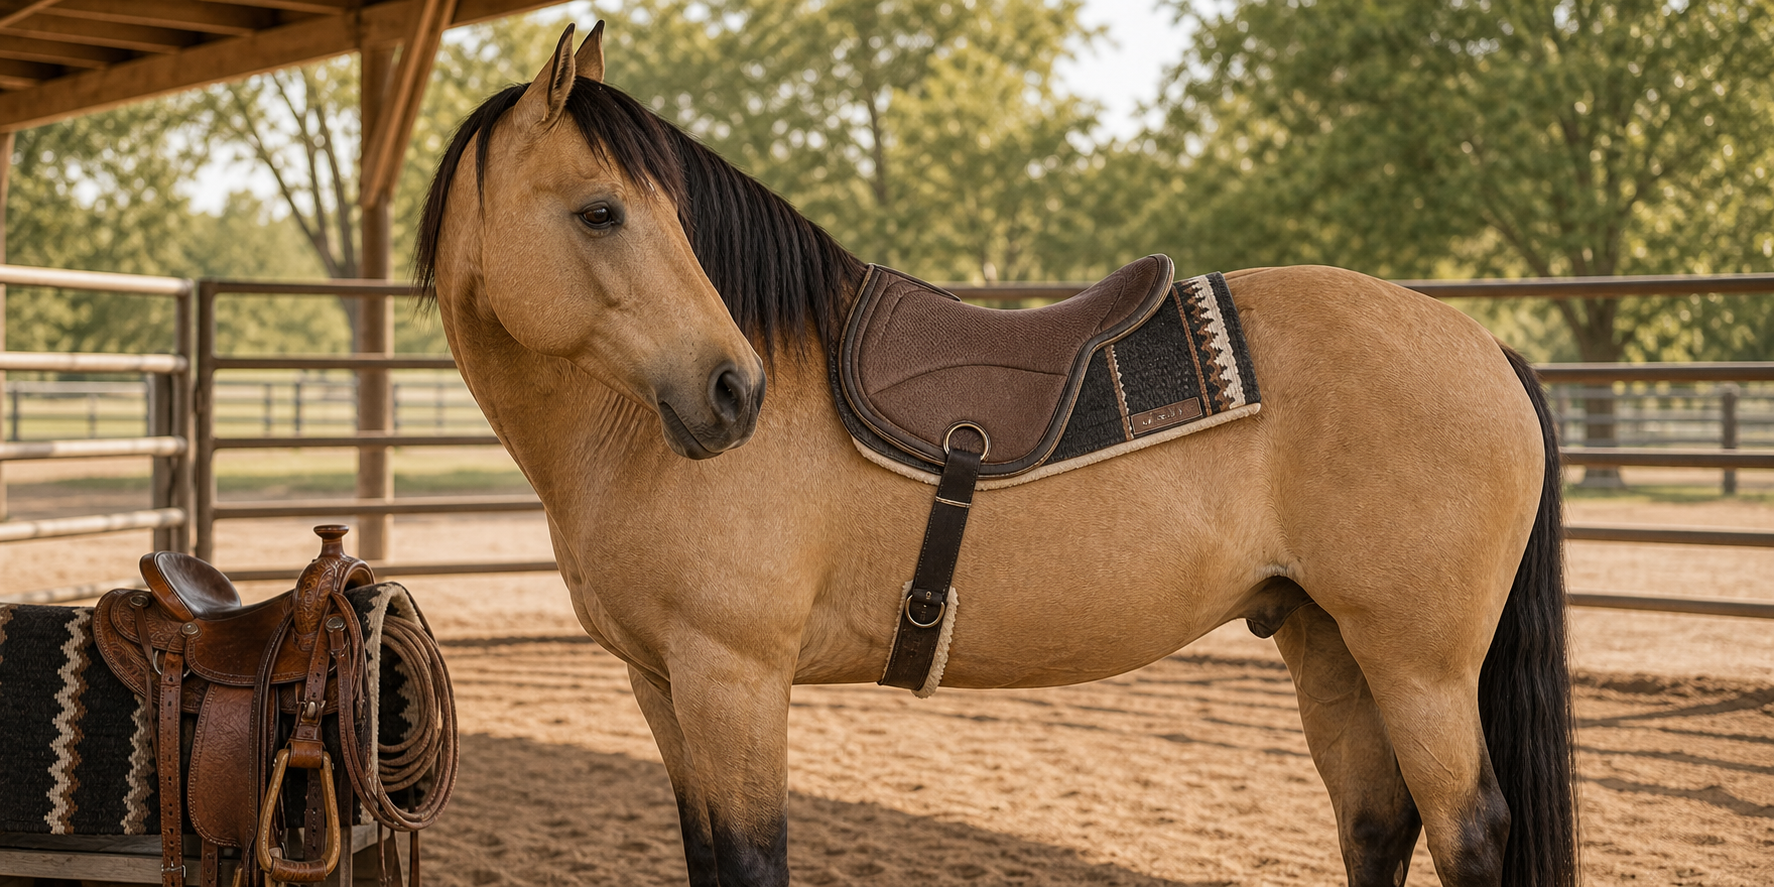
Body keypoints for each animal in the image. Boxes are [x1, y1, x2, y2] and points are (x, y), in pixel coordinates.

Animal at [413, 23, 1577, 887]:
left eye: (641, 211)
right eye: (603, 210)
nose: (731, 390)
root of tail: (1485, 347)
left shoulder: (731, 676)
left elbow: (749, 860)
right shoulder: (662, 684)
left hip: (1419, 664)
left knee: (1467, 831)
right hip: (1331, 643)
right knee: (1375, 823)